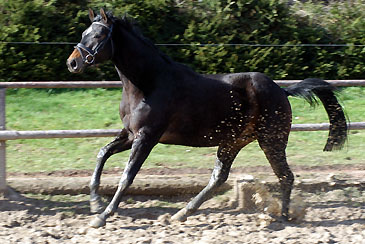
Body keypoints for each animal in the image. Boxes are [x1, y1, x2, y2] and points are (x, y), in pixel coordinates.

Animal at [66, 8, 346, 228]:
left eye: (98, 35)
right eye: (83, 34)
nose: (72, 63)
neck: (148, 84)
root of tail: (281, 90)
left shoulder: (147, 137)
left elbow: (127, 176)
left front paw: (102, 216)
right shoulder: (130, 134)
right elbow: (102, 153)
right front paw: (95, 203)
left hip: (271, 141)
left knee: (285, 176)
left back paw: (284, 217)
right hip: (233, 141)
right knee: (219, 177)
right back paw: (181, 214)